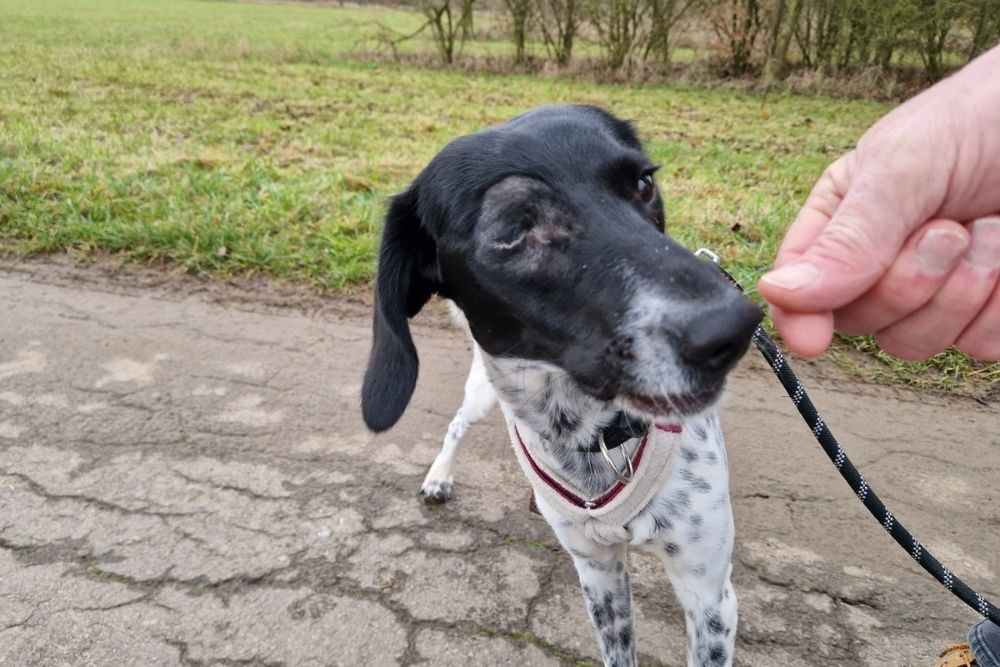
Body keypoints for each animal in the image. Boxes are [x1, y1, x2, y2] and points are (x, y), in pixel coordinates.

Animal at [361, 105, 762, 667]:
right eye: (514, 228)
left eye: (644, 183)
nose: (735, 327)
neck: (592, 435)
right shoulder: (597, 571)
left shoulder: (710, 597)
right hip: (480, 395)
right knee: (457, 425)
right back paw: (439, 476)